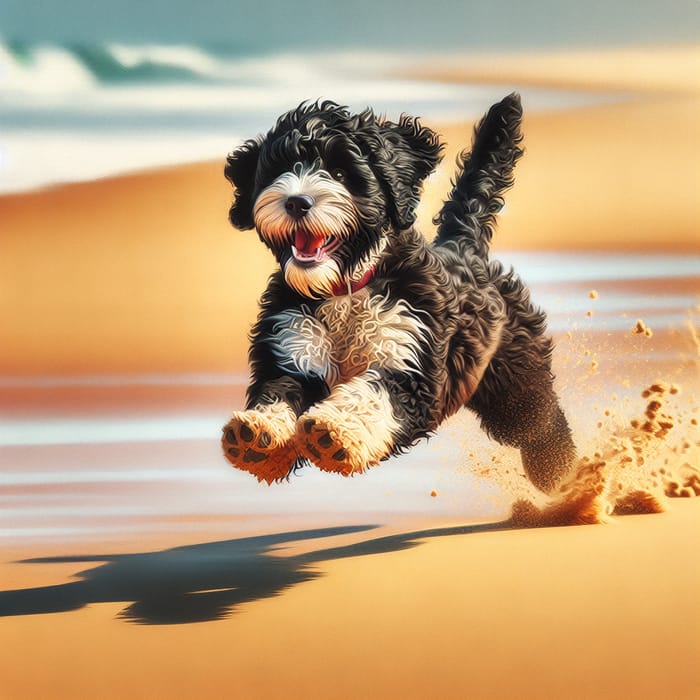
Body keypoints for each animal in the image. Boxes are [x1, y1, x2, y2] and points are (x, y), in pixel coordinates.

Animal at [223, 94, 576, 492]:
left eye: (341, 173)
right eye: (277, 171)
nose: (297, 202)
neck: (346, 289)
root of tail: (463, 244)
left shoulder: (411, 362)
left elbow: (372, 394)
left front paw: (336, 430)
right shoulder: (292, 351)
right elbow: (279, 392)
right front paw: (258, 433)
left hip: (514, 379)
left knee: (539, 420)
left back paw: (558, 469)